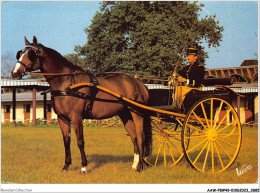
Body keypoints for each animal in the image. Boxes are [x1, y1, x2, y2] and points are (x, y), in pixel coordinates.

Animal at [11, 36, 152, 173]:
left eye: (31, 54)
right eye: (20, 53)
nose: (14, 73)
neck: (67, 83)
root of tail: (138, 83)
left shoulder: (76, 117)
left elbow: (80, 141)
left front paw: (83, 167)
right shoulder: (62, 118)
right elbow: (66, 141)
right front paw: (66, 166)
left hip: (137, 113)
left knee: (141, 136)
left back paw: (140, 166)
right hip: (124, 114)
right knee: (134, 137)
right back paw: (134, 165)